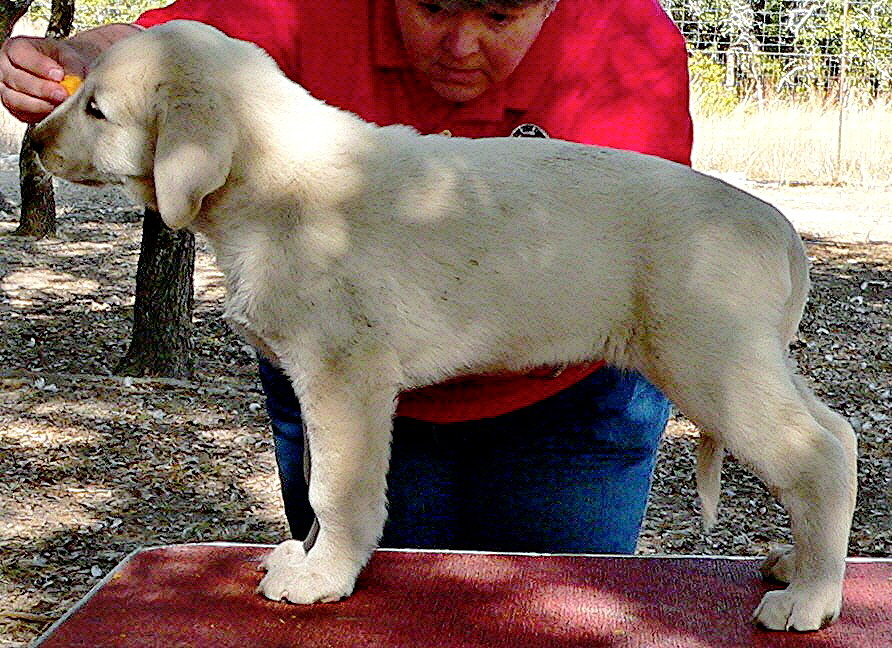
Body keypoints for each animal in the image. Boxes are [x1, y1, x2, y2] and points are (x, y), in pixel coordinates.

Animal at [33, 21, 856, 632]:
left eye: (96, 109)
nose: (33, 142)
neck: (273, 178)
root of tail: (776, 224)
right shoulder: (324, 383)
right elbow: (320, 488)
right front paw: (305, 557)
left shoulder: (346, 375)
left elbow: (337, 488)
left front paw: (323, 575)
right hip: (746, 360)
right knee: (836, 433)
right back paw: (800, 563)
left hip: (712, 361)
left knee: (817, 453)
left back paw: (811, 598)